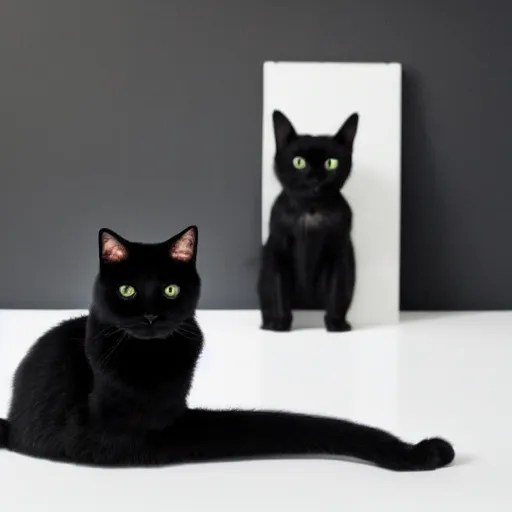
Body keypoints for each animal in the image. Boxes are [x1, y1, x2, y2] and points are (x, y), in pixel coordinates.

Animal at [0, 228, 456, 472]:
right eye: (128, 291)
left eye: (170, 290)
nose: (150, 316)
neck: (151, 364)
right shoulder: (104, 428)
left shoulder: (169, 414)